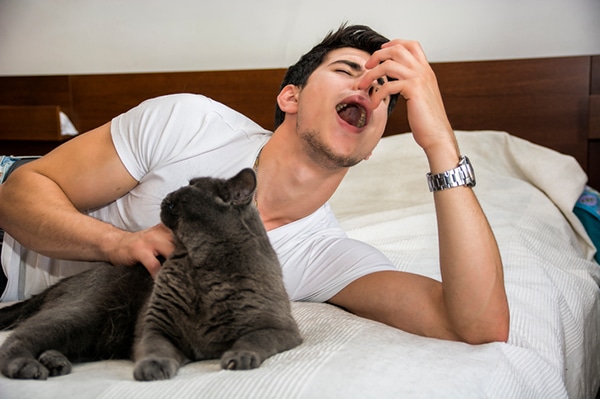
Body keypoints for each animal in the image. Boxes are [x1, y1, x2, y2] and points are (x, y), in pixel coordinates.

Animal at [0, 168, 302, 382]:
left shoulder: (281, 328)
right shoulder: (155, 324)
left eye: (192, 186)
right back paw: (28, 366)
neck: (200, 263)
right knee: (19, 338)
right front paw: (153, 367)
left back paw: (54, 362)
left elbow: (255, 338)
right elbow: (156, 348)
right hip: (82, 314)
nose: (170, 192)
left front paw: (240, 357)